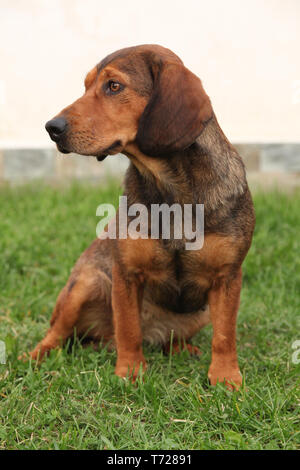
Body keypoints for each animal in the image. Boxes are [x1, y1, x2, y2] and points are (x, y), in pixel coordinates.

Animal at [28, 45, 254, 390]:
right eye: (86, 86)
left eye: (114, 86)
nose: (52, 127)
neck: (170, 188)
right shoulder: (126, 275)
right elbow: (129, 329)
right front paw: (130, 372)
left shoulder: (227, 277)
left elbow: (225, 335)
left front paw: (226, 378)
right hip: (84, 284)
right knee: (58, 333)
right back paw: (35, 357)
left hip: (199, 311)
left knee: (172, 339)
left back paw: (183, 348)